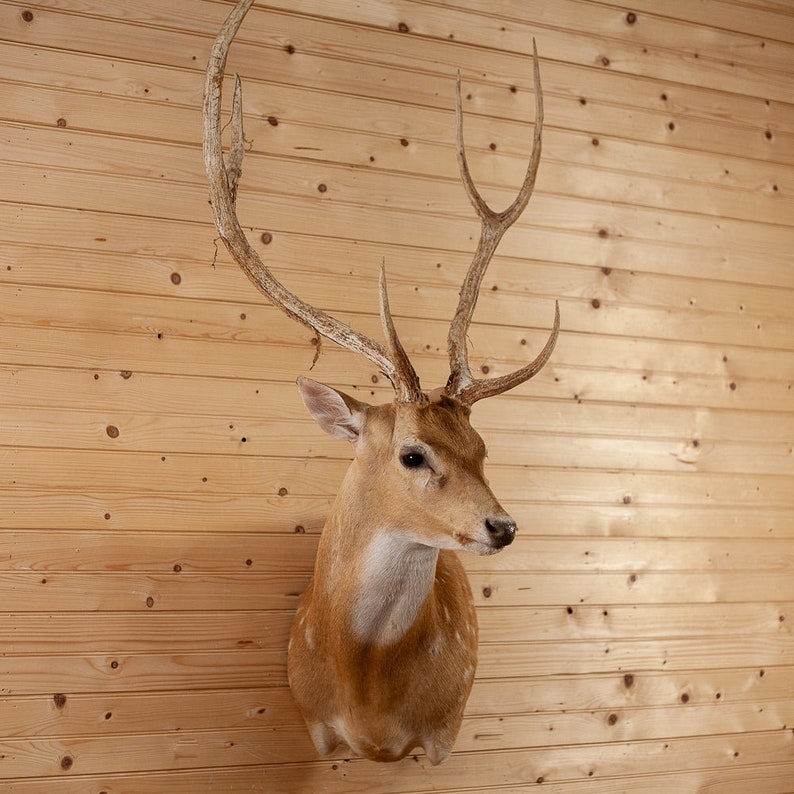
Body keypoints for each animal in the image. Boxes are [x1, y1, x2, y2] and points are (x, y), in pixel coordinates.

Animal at [204, 0, 559, 766]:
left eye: (483, 450)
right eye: (412, 453)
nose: (503, 525)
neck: (365, 692)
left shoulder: (445, 732)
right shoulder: (313, 725)